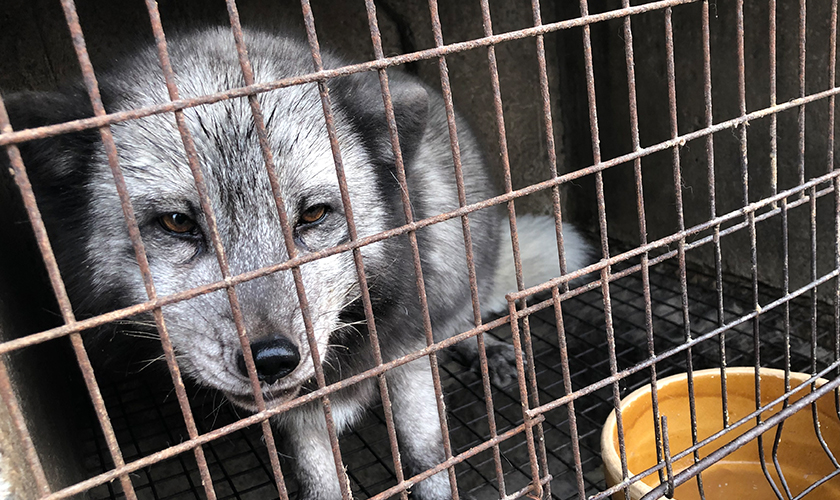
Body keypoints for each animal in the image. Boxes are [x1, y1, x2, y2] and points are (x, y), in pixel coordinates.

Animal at [0, 28, 591, 499]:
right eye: (176, 223)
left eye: (313, 214)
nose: (270, 359)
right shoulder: (303, 414)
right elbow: (321, 480)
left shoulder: (405, 355)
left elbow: (428, 459)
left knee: (462, 314)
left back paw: (484, 348)